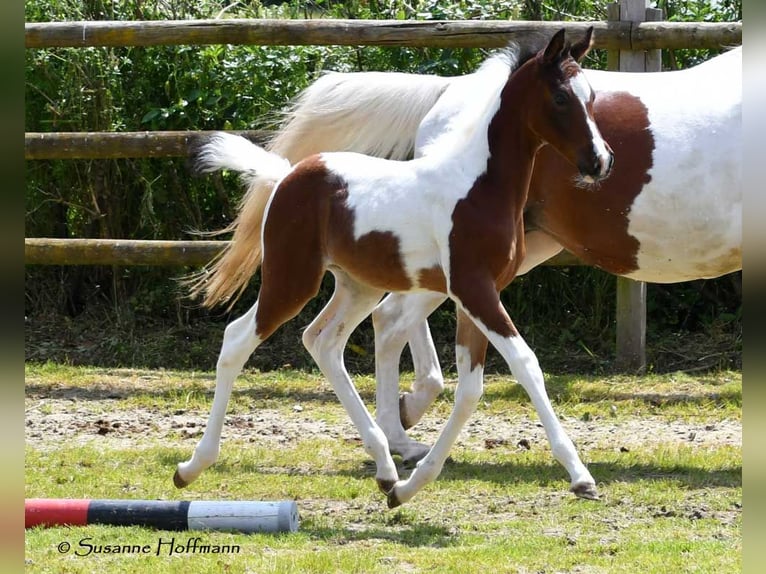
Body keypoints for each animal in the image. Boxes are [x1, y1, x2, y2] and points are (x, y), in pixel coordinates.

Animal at [175, 27, 614, 507]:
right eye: (560, 97)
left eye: (592, 96)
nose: (601, 161)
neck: (477, 187)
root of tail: (287, 175)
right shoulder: (474, 290)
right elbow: (524, 364)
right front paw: (581, 476)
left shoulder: (478, 295)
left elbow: (470, 390)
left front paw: (408, 487)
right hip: (291, 278)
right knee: (238, 339)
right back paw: (192, 466)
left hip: (357, 286)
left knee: (323, 342)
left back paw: (386, 469)